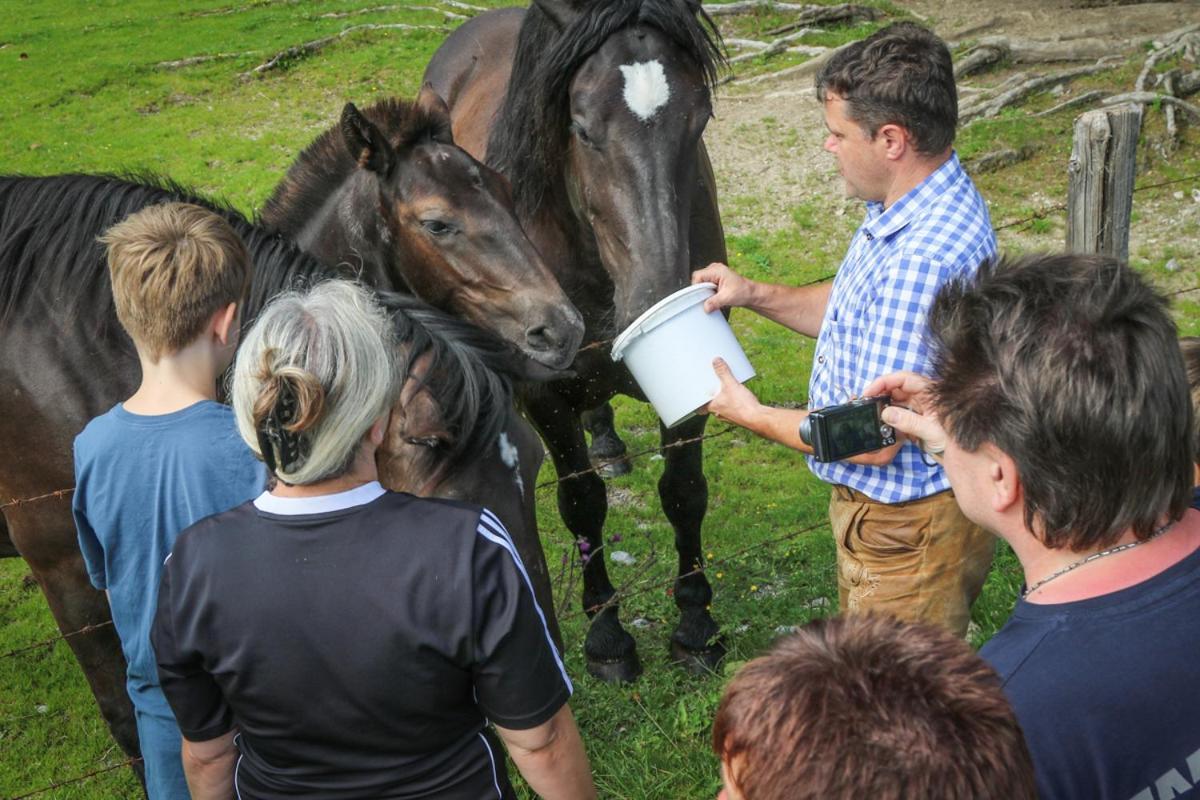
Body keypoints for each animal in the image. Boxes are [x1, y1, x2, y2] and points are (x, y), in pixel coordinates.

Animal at [427, 0, 724, 681]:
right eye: (583, 130)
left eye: (699, 121)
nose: (656, 295)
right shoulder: (546, 398)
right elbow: (582, 502)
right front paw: (608, 638)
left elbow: (684, 493)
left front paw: (696, 626)